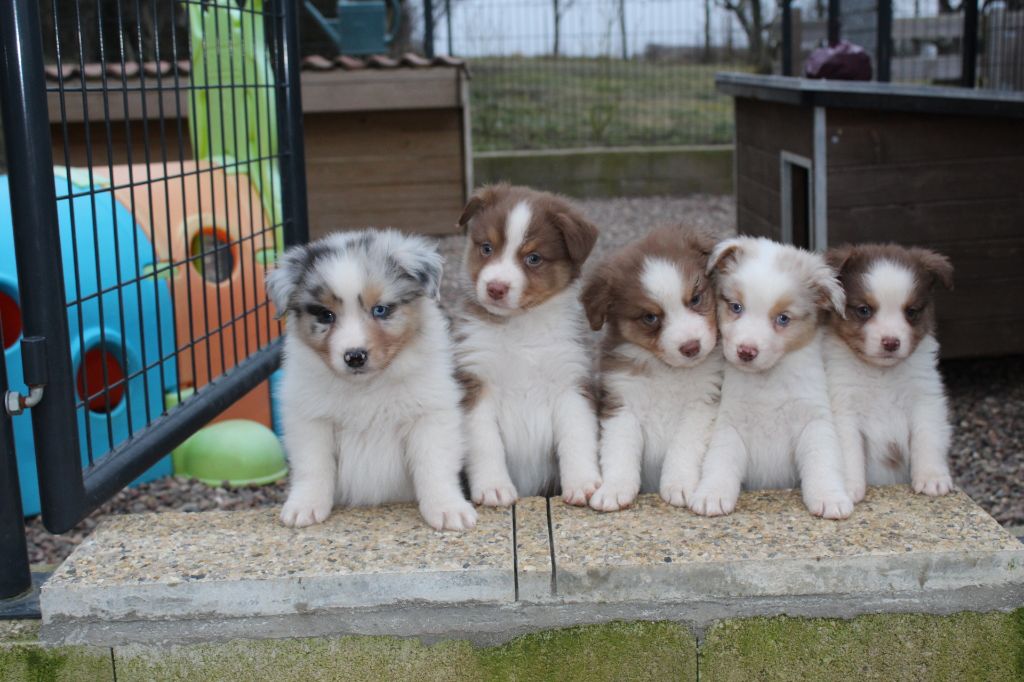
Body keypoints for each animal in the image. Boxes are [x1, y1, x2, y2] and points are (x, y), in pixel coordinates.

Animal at [262, 228, 473, 532]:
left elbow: (434, 464)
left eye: (380, 309)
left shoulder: (430, 415)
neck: (367, 387)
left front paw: (447, 509)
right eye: (326, 315)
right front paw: (305, 506)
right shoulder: (310, 420)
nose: (354, 356)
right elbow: (313, 465)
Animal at [454, 184, 602, 503]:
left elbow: (577, 435)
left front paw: (583, 483)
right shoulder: (476, 382)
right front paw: (493, 487)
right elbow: (485, 443)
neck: (522, 327)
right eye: (487, 248)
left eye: (533, 258)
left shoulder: (570, 381)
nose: (495, 288)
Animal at [581, 225, 724, 507]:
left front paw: (679, 485)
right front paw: (614, 489)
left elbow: (683, 447)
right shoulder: (622, 402)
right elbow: (619, 450)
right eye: (650, 317)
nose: (691, 347)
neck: (667, 370)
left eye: (695, 298)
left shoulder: (702, 404)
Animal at [688, 236, 856, 518]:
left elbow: (822, 460)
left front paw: (830, 497)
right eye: (736, 307)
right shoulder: (730, 424)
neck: (766, 381)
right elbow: (720, 460)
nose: (746, 351)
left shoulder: (814, 421)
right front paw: (712, 494)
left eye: (783, 318)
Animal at [819, 242, 954, 499]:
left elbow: (927, 437)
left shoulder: (925, 399)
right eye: (864, 310)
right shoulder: (844, 408)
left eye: (911, 312)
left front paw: (932, 477)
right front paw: (849, 487)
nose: (891, 342)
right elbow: (848, 450)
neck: (881, 375)